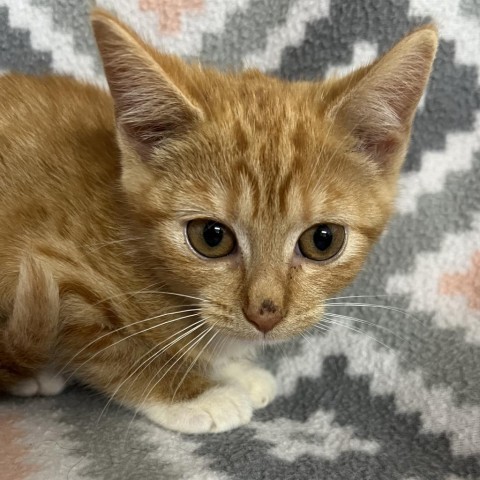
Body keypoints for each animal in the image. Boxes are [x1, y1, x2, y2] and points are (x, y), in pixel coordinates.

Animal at [0, 9, 436, 434]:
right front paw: (191, 392)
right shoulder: (53, 274)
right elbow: (112, 348)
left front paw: (233, 368)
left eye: (322, 240)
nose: (265, 313)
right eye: (211, 238)